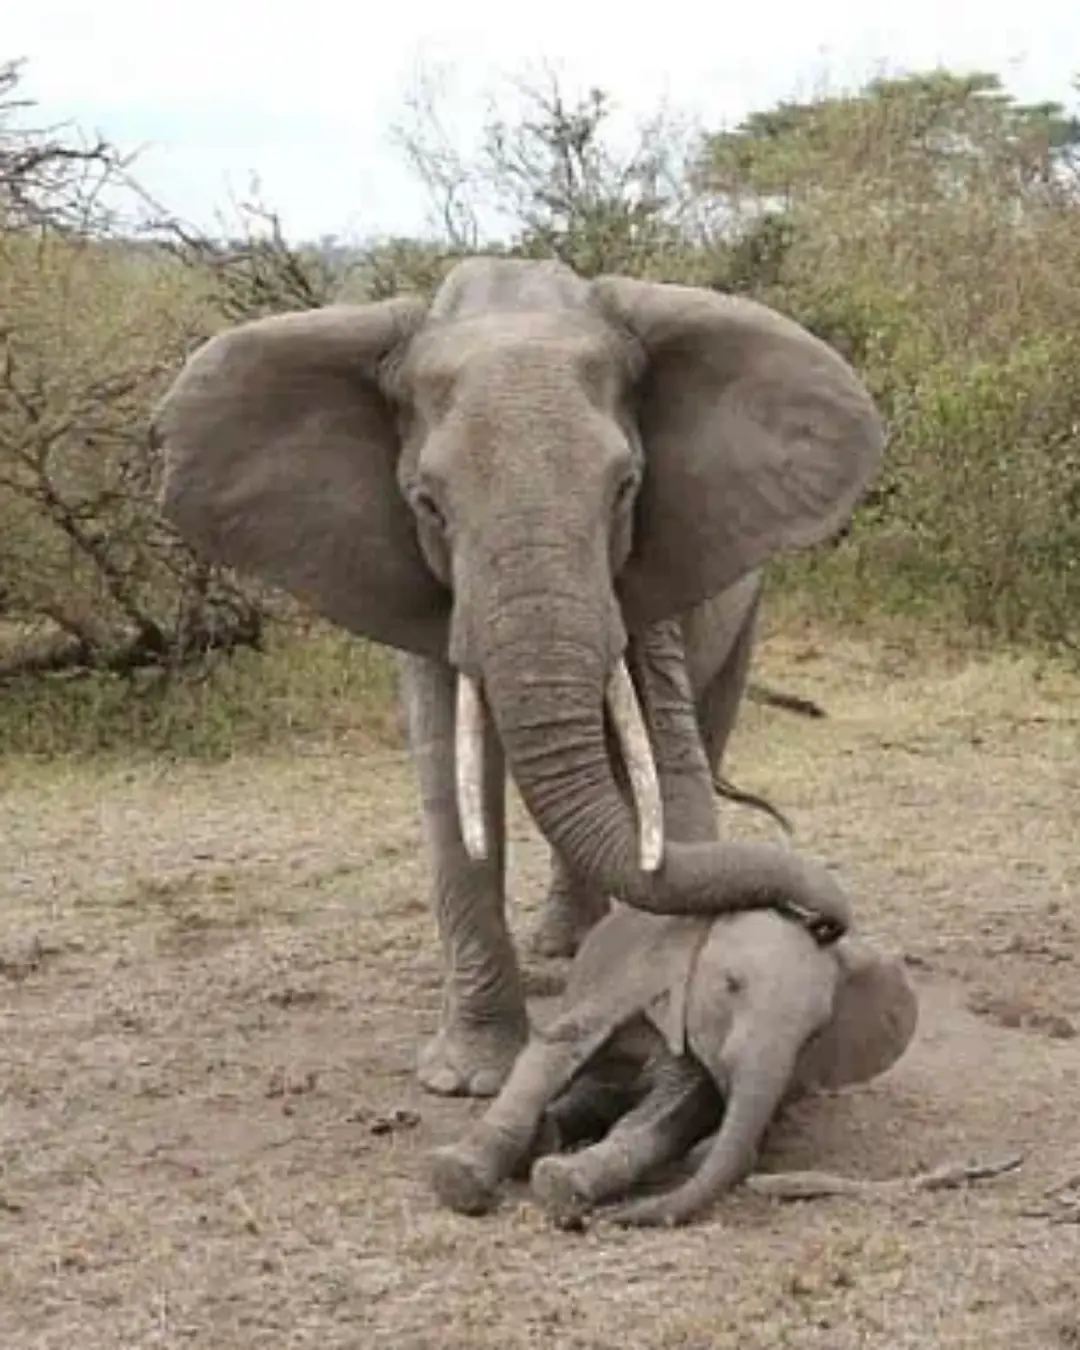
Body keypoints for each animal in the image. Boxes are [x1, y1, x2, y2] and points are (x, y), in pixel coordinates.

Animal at [151, 256, 885, 1097]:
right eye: (428, 505)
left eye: (626, 489)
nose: (824, 922)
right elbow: (449, 774)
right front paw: (468, 1080)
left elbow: (670, 766)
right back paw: (561, 955)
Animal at [430, 899, 918, 1228]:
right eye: (731, 985)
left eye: (815, 1032)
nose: (615, 1218)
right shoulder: (638, 976)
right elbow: (557, 1047)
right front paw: (458, 1179)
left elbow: (675, 1111)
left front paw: (563, 1185)